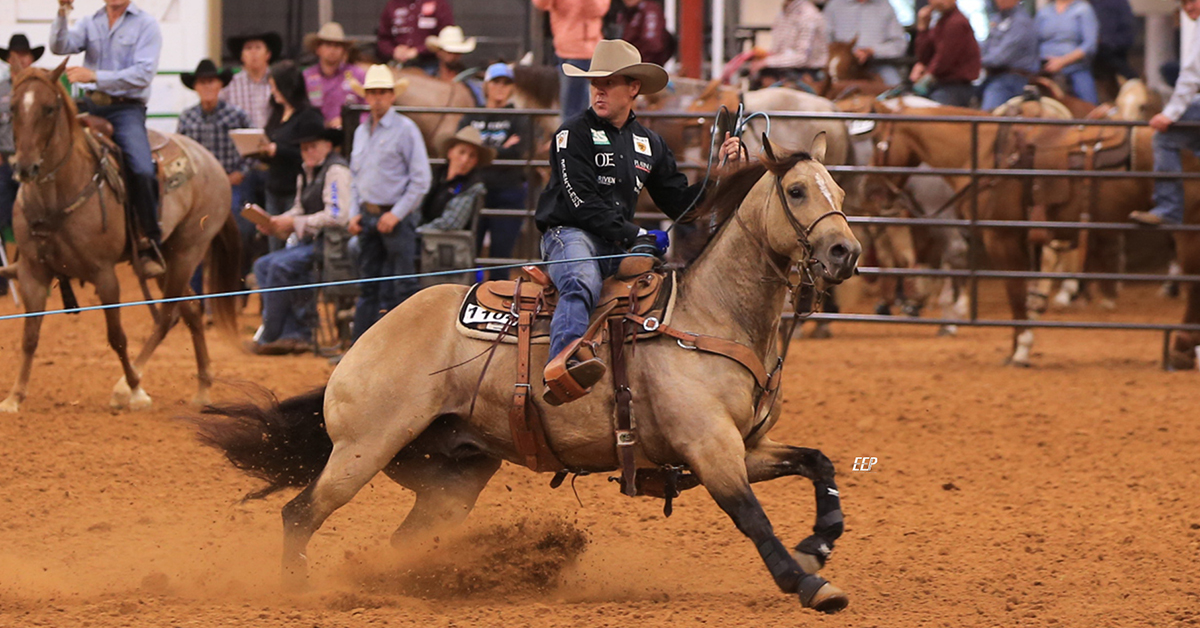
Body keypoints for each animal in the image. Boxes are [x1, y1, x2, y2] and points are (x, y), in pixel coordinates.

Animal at [1, 62, 241, 413]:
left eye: (49, 109)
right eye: (13, 108)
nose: (25, 167)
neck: (57, 194)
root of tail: (211, 161)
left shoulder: (104, 274)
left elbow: (117, 336)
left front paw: (135, 389)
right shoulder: (33, 273)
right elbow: (29, 336)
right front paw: (14, 396)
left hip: (188, 251)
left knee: (166, 316)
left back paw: (128, 386)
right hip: (167, 259)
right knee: (191, 311)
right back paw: (203, 389)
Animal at [189, 138, 864, 614]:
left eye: (838, 188)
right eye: (797, 191)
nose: (845, 252)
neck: (709, 316)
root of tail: (362, 345)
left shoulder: (746, 445)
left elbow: (819, 461)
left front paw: (821, 541)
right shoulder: (709, 447)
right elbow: (751, 516)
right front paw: (808, 582)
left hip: (451, 476)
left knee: (401, 539)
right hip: (362, 450)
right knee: (301, 513)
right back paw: (298, 590)